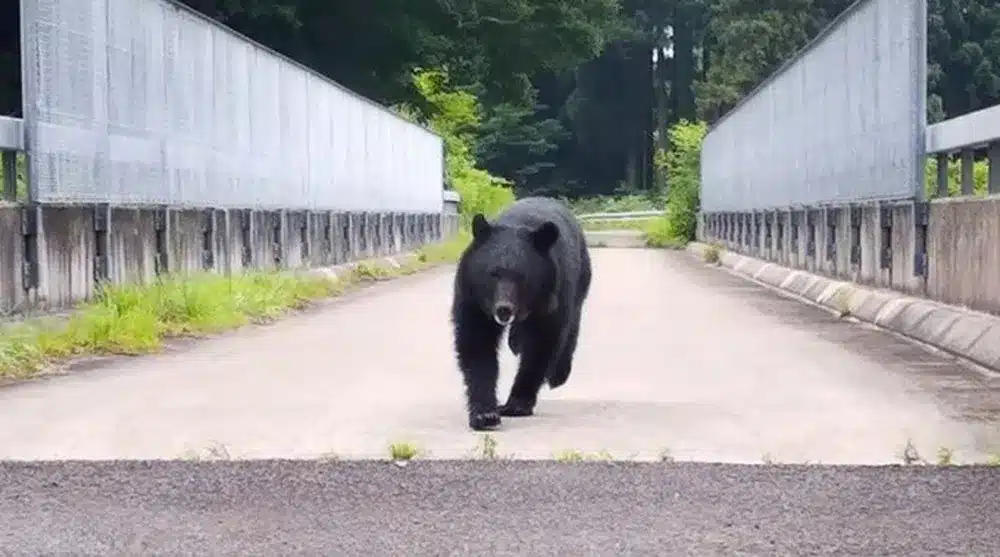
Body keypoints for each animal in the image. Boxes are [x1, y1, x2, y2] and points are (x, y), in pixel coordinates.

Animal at [450, 196, 592, 431]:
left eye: (521, 277)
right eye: (493, 274)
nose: (503, 309)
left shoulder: (552, 296)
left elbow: (541, 346)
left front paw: (516, 404)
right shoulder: (472, 298)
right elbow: (477, 344)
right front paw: (485, 413)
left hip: (580, 279)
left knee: (572, 324)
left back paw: (558, 375)